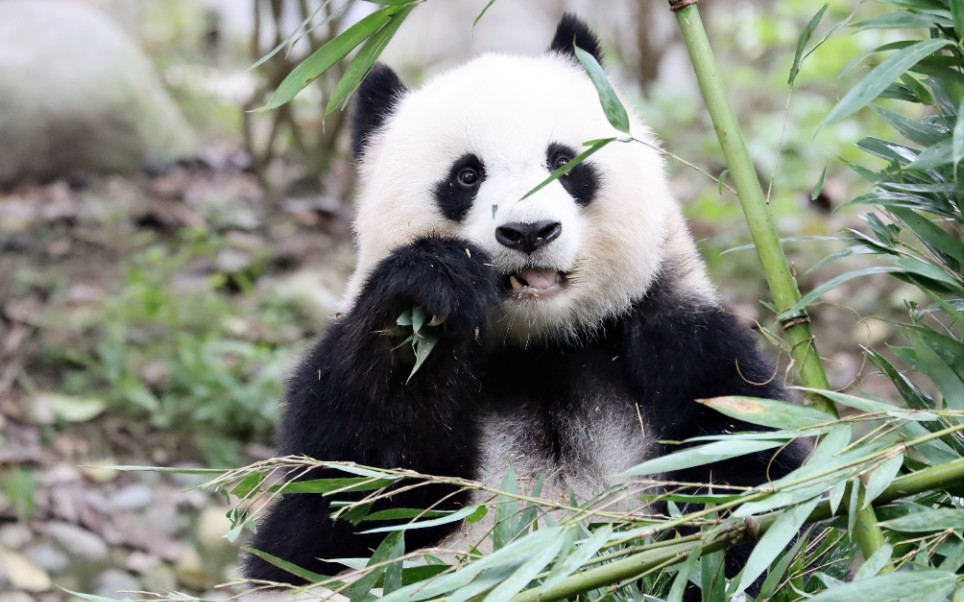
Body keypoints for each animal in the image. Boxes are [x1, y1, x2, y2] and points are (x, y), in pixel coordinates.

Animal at [245, 12, 808, 584]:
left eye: (564, 161)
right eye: (467, 175)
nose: (529, 231)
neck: (542, 345)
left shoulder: (687, 345)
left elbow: (758, 483)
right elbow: (331, 514)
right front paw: (433, 285)